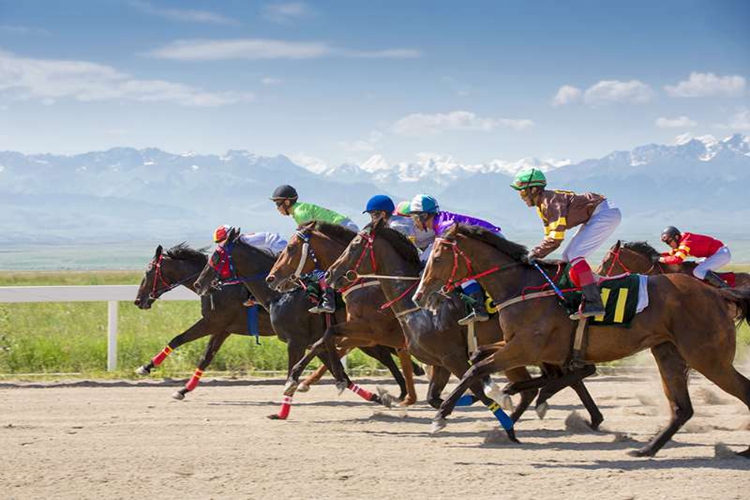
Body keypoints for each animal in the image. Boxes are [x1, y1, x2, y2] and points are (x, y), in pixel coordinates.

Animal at [194, 230, 418, 418]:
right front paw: (373, 396)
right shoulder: (315, 342)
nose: (199, 283)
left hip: (371, 336)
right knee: (390, 356)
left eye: (216, 256)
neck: (281, 296)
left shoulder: (296, 342)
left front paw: (283, 409)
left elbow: (294, 370)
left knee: (392, 356)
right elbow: (340, 373)